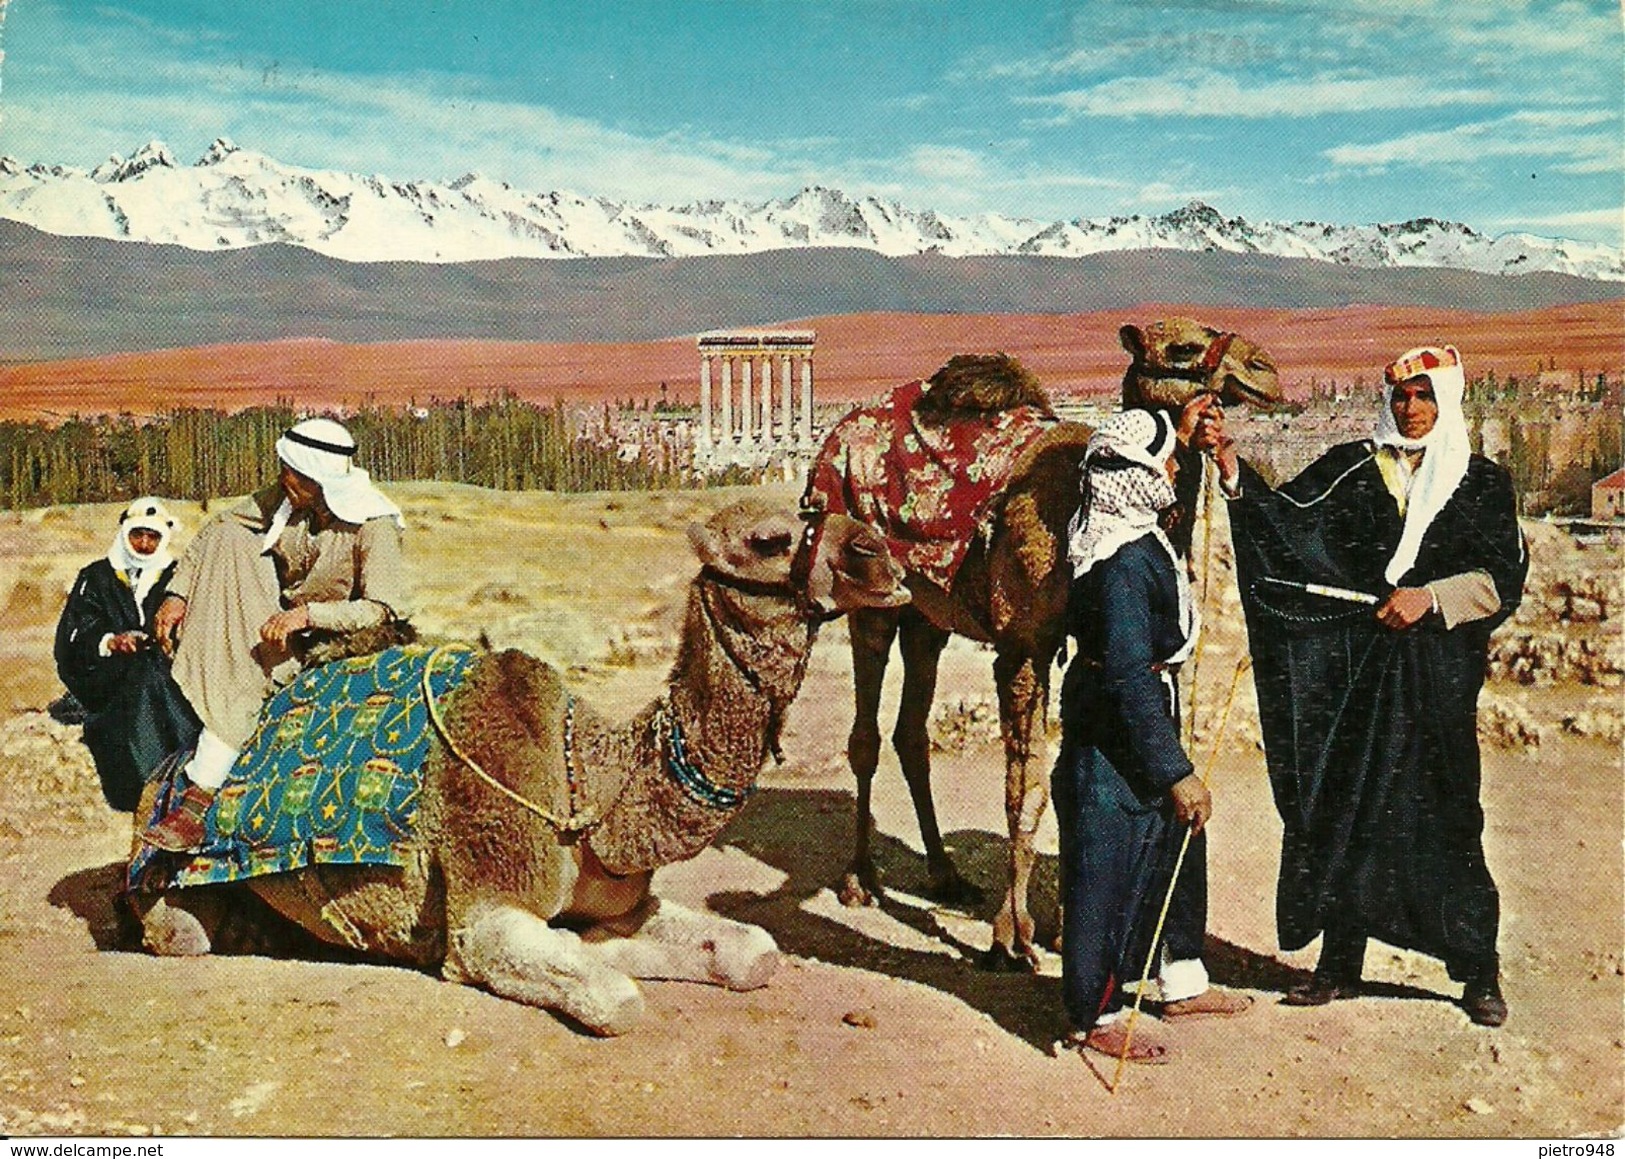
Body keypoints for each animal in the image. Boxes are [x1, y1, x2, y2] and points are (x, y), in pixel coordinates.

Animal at [806, 318, 1274, 968]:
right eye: (1181, 347)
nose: (1265, 371)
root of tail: (836, 436)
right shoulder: (1024, 647)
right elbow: (1022, 788)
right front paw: (1012, 935)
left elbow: (1065, 775)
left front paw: (1058, 928)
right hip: (870, 594)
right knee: (866, 735)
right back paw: (860, 880)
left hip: (928, 614)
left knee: (911, 731)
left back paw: (945, 875)